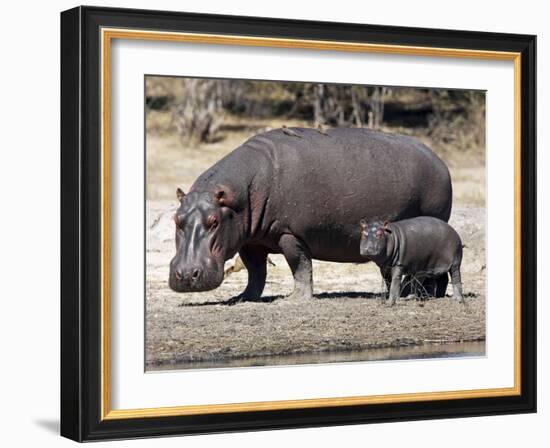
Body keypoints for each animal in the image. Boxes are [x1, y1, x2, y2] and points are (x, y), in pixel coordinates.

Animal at [169, 126, 452, 300]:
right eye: (176, 219)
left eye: (214, 220)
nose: (186, 274)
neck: (239, 195)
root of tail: (439, 160)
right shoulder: (249, 240)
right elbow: (256, 272)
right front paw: (242, 298)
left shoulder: (290, 234)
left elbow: (300, 266)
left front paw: (294, 299)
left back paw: (423, 295)